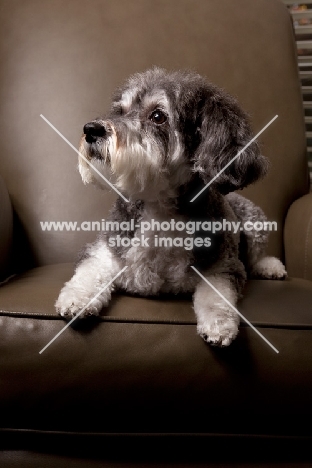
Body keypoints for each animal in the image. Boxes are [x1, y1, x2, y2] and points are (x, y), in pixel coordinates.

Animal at [55, 67, 286, 346]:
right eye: (120, 110)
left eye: (158, 116)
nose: (91, 129)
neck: (159, 206)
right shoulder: (106, 250)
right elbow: (89, 272)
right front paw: (76, 299)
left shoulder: (224, 265)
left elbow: (217, 294)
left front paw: (219, 325)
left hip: (255, 219)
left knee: (255, 257)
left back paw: (270, 266)